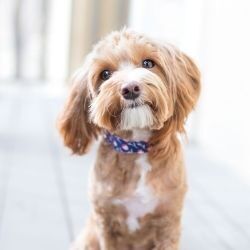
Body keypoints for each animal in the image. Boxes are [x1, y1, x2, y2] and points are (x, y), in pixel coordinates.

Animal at [57, 28, 200, 249]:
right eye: (105, 74)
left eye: (148, 63)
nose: (130, 88)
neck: (135, 146)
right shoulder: (106, 223)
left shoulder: (168, 221)